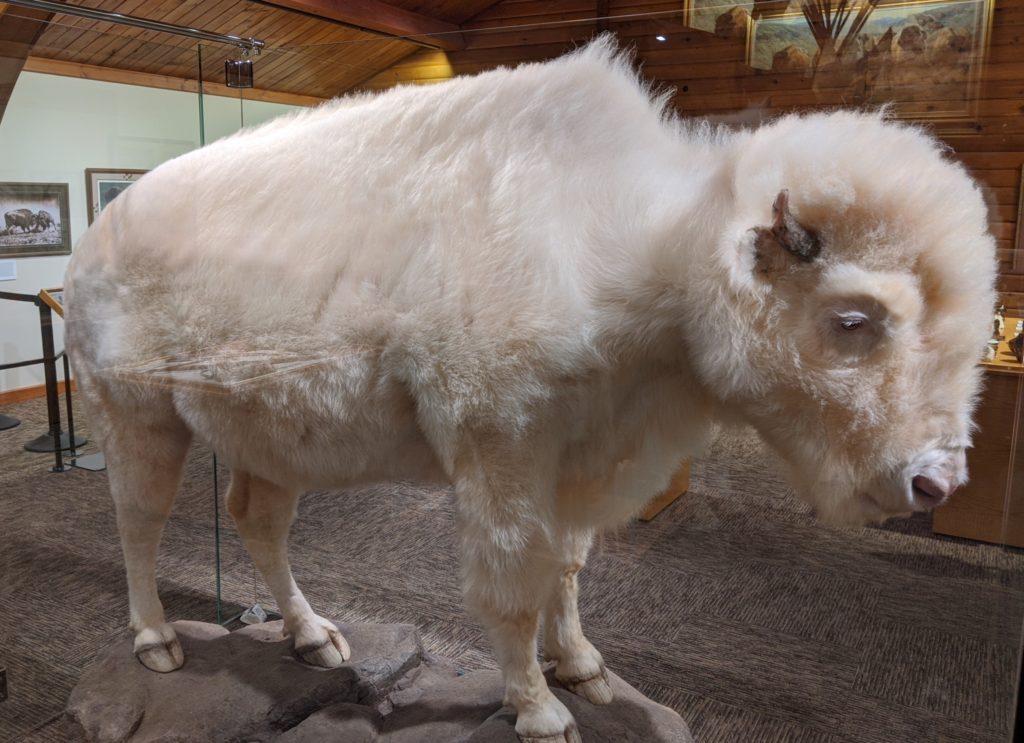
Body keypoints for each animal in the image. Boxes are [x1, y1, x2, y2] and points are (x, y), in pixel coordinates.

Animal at [61, 40, 991, 743]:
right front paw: (542, 711)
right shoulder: (499, 453)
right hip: (138, 416)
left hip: (270, 434)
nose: (936, 481)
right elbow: (512, 583)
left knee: (257, 519)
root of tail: (98, 232)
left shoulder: (580, 460)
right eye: (853, 317)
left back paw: (316, 638)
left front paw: (583, 665)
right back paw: (157, 642)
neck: (648, 247)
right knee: (138, 518)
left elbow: (566, 568)